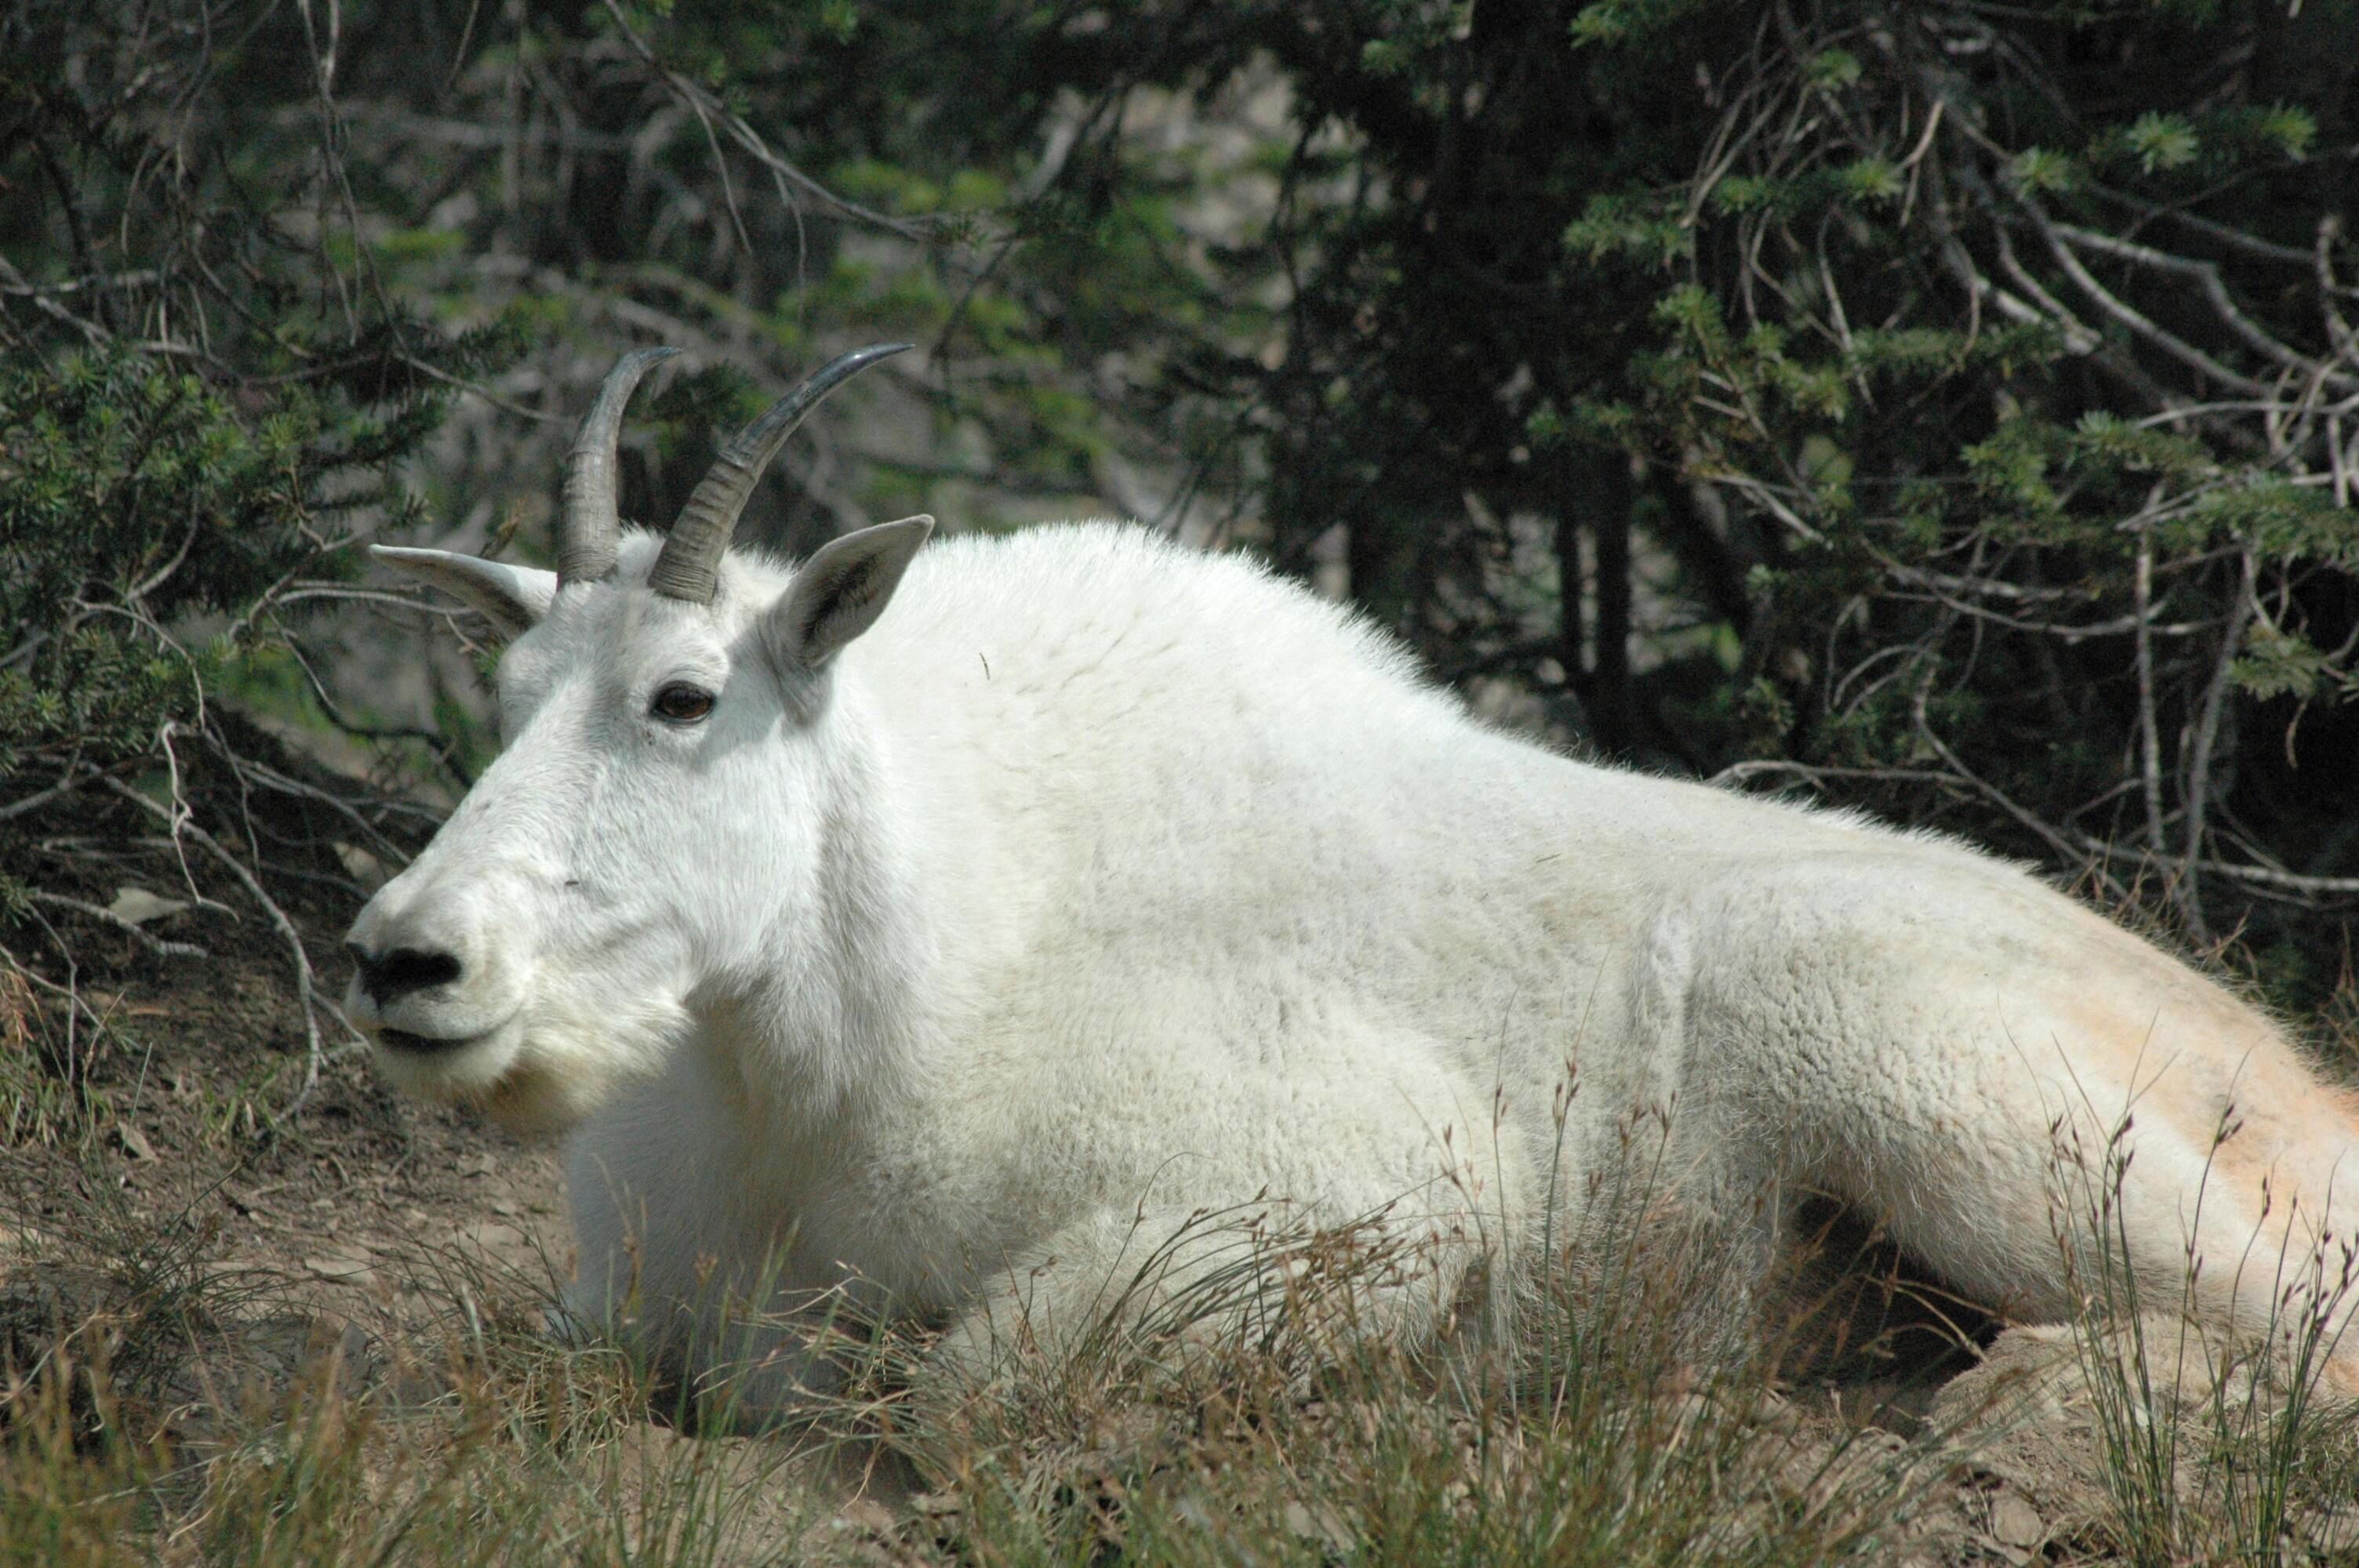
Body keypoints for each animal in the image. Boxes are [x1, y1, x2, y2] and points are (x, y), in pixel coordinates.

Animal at [346, 345, 2359, 1423]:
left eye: (684, 698)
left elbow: (962, 1379)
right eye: (508, 694)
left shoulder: (1357, 1201)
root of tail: (2288, 1085)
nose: (409, 961)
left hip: (1958, 1094)